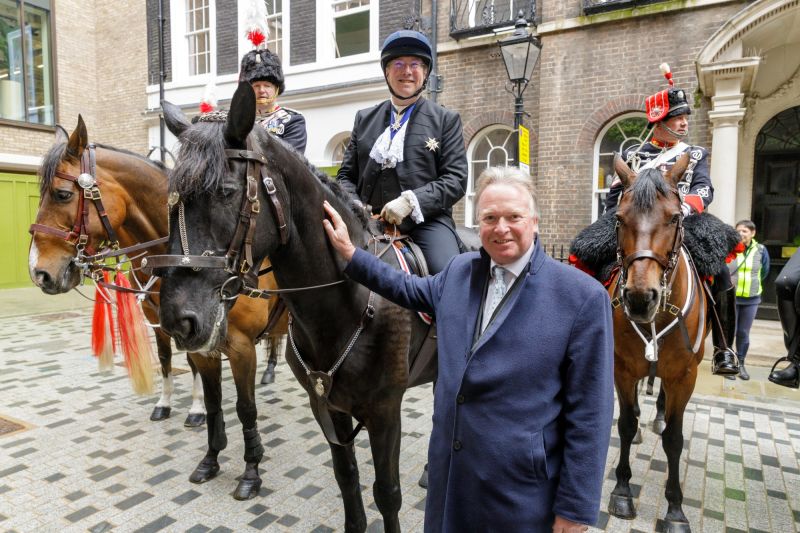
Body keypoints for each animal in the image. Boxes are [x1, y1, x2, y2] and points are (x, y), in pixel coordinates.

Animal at [28, 117, 288, 442]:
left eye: (62, 194)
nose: (38, 272)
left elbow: (191, 361)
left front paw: (196, 408)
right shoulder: (161, 322)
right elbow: (165, 359)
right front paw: (164, 403)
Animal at [151, 82, 436, 531]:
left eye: (226, 192)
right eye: (171, 200)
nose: (178, 319)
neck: (347, 304)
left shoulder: (386, 410)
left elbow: (387, 494)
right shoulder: (328, 406)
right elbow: (347, 478)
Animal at [606, 153, 708, 533]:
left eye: (675, 216)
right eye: (619, 218)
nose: (639, 298)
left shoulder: (685, 376)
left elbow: (674, 441)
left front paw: (675, 509)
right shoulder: (621, 368)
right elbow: (624, 424)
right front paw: (622, 490)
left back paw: (660, 416)